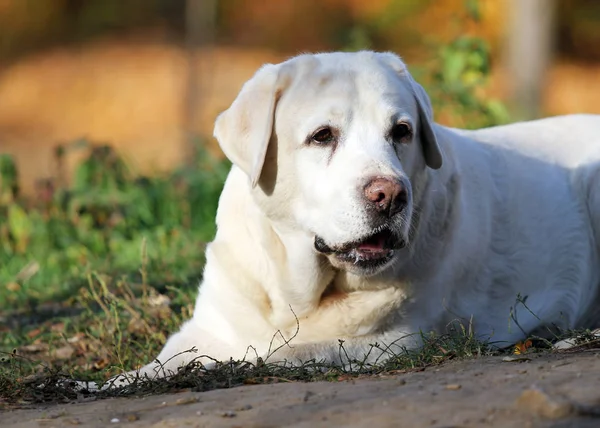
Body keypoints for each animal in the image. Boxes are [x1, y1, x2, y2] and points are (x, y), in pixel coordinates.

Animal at [104, 50, 600, 384]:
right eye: (322, 136)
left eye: (401, 131)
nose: (390, 195)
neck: (296, 291)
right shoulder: (206, 324)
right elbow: (161, 363)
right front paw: (110, 382)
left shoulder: (386, 341)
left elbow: (265, 353)